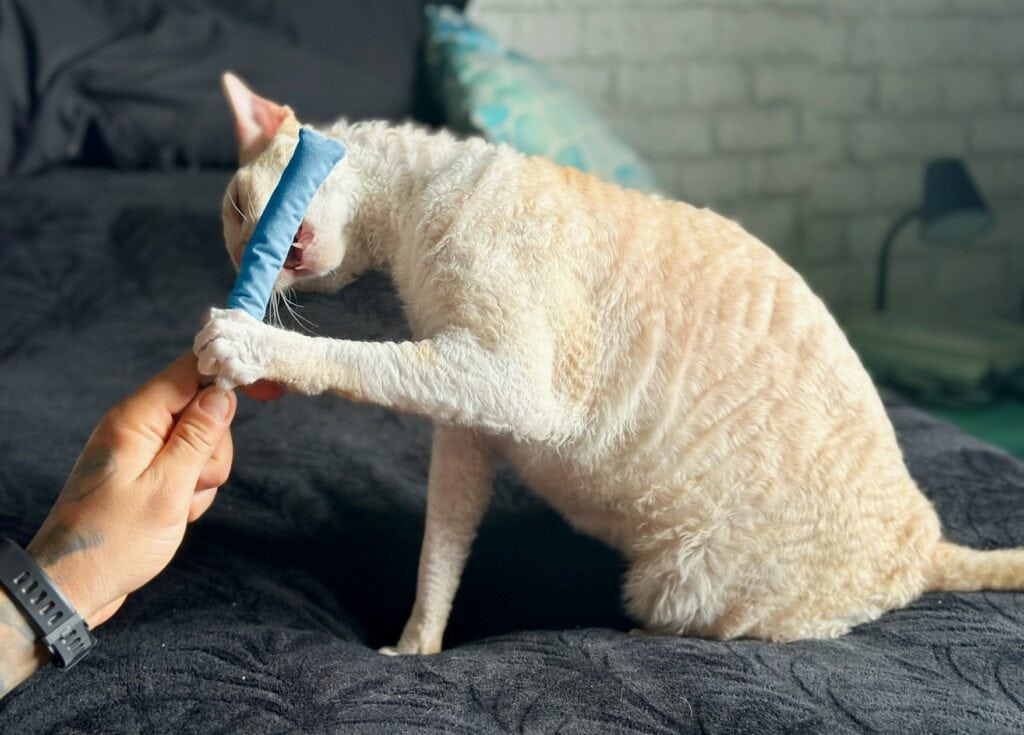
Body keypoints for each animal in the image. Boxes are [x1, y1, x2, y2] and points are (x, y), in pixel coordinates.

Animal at [193, 72, 1024, 655]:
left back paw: (634, 635)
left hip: (685, 582)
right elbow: (442, 543)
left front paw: (247, 342)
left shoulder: (511, 381)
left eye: (237, 210)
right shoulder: (470, 422)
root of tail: (923, 543)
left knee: (722, 626)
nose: (257, 270)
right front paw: (415, 645)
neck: (415, 202)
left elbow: (362, 360)